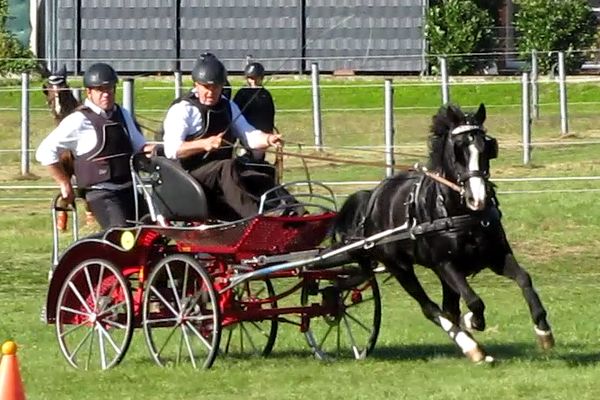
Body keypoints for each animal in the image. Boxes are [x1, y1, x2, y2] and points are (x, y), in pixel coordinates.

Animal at [332, 103, 554, 363]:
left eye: (487, 147)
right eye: (457, 150)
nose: (478, 198)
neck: (460, 213)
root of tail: (373, 198)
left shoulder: (496, 256)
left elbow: (524, 279)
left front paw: (543, 331)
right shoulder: (446, 264)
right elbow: (475, 302)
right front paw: (472, 323)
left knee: (448, 308)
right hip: (400, 268)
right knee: (430, 308)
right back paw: (470, 347)